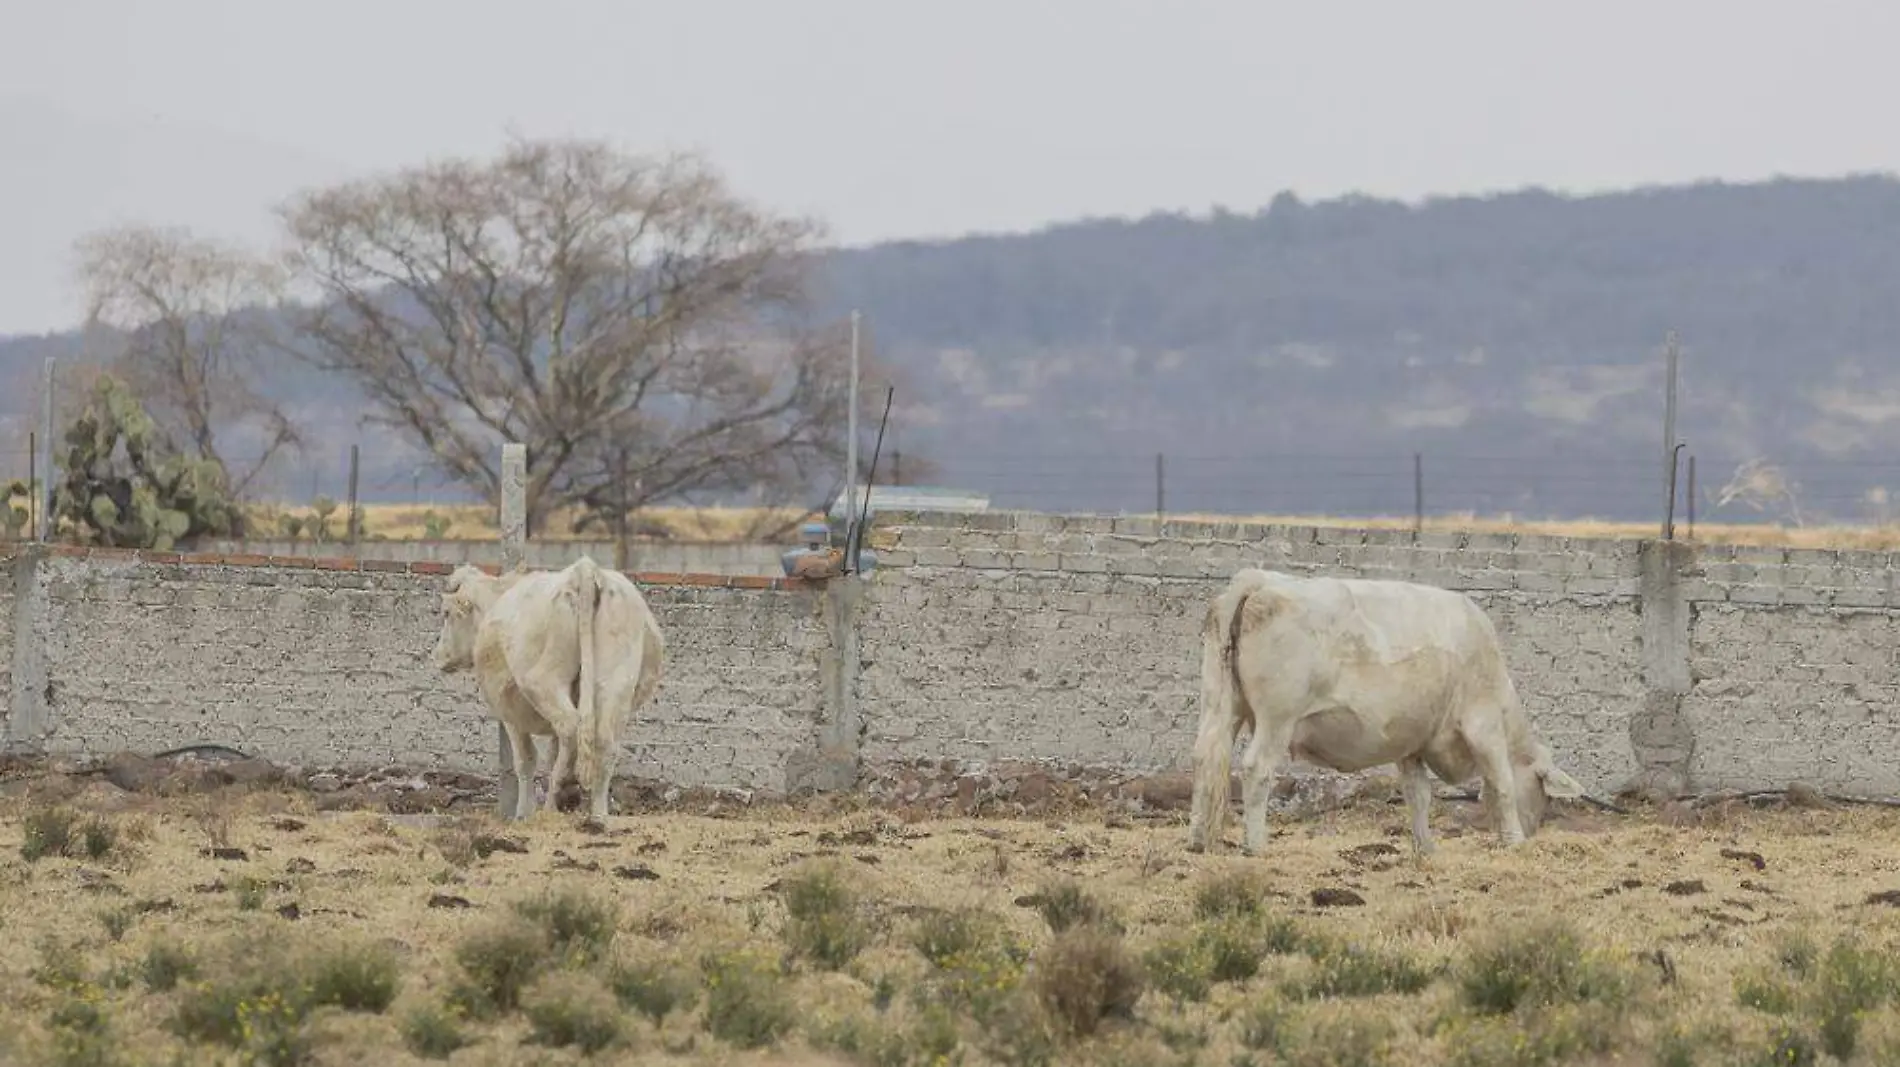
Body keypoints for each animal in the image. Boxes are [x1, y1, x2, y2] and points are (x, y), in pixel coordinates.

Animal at [435, 550, 668, 816]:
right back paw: (597, 814)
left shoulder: (510, 714)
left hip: (543, 683)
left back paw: (554, 800)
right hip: (616, 686)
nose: (438, 655)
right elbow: (553, 752)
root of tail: (583, 570)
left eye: (446, 613)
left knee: (569, 726)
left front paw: (523, 813)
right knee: (603, 742)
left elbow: (525, 760)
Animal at [1185, 565, 1588, 854]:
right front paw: (1514, 840)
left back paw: (1198, 840)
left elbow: (1418, 795)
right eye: (1542, 793)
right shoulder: (1483, 725)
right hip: (1276, 720)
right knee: (1256, 769)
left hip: (1220, 705)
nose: (1534, 831)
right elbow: (1501, 783)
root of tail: (1258, 579)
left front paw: (1426, 848)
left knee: (1205, 758)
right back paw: (1255, 845)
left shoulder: (1413, 742)